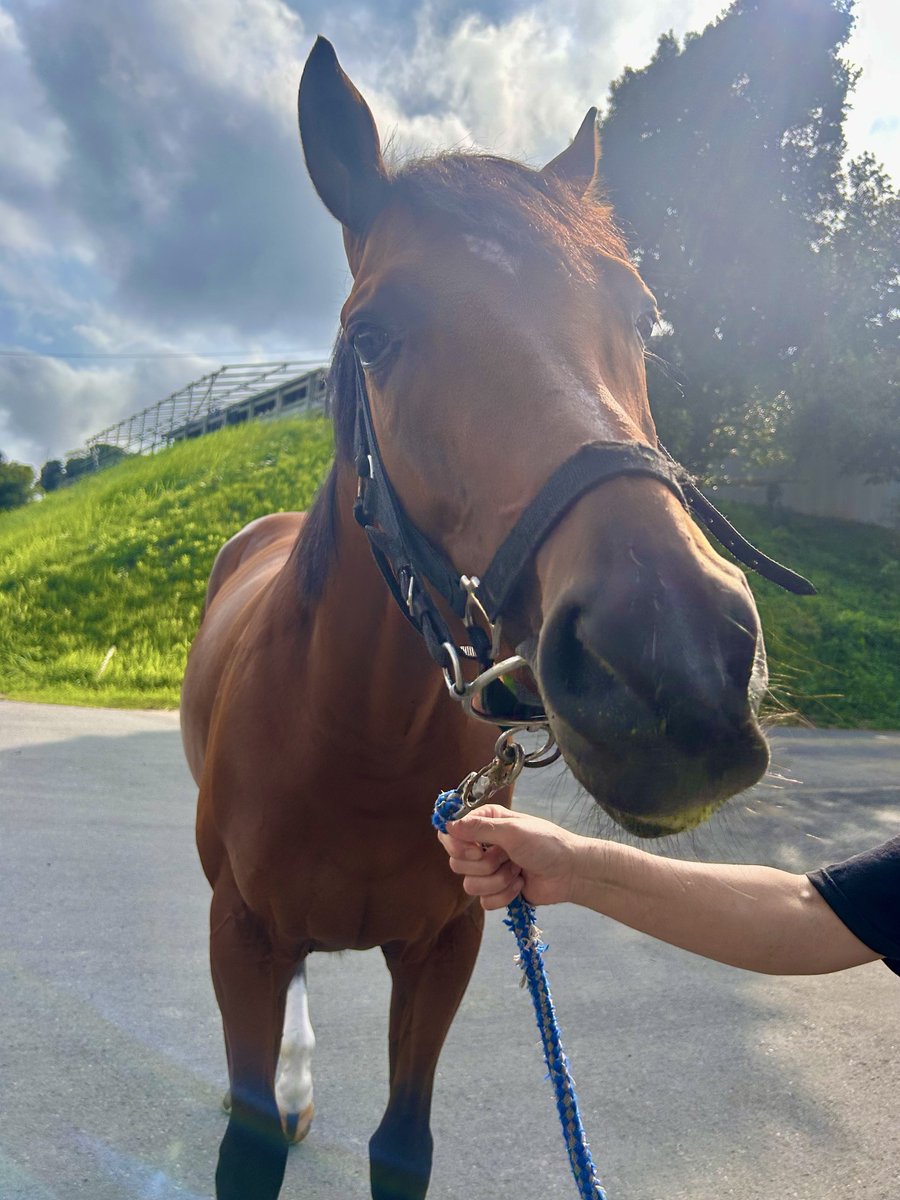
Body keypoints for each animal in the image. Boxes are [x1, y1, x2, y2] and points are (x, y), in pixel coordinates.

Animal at [180, 36, 779, 1200]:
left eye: (642, 317)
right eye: (372, 333)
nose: (677, 666)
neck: (355, 740)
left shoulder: (447, 944)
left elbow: (402, 1146)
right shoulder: (241, 936)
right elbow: (249, 1145)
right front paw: (275, 1101)